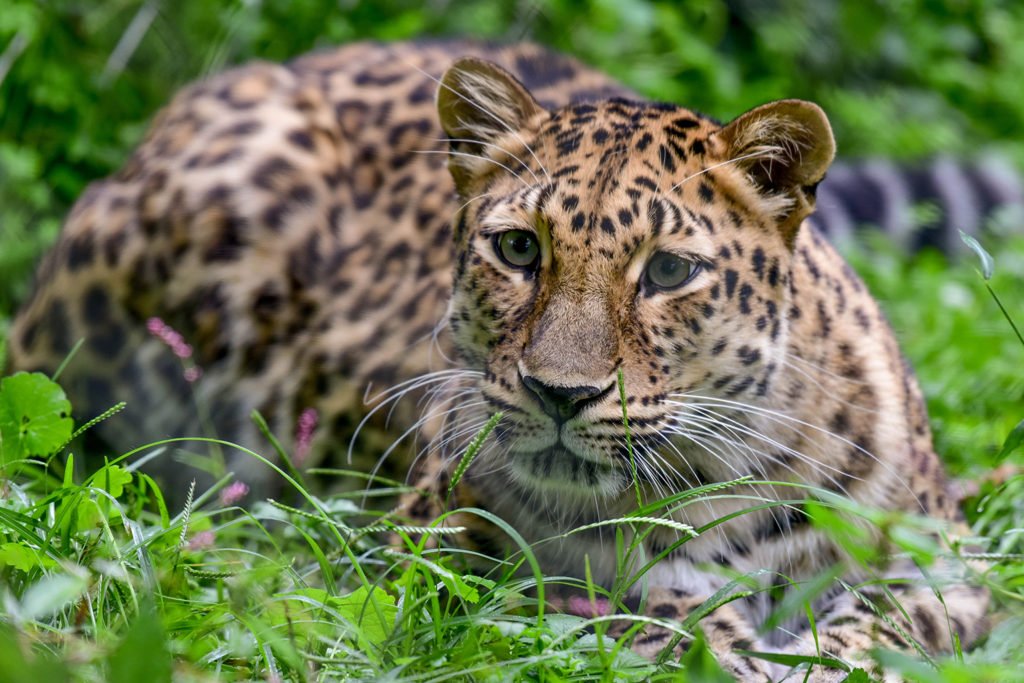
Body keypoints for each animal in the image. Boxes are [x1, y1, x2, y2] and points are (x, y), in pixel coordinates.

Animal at [7, 40, 990, 681]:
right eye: (519, 249)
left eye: (669, 271)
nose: (560, 393)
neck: (724, 481)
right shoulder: (445, 551)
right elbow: (639, 612)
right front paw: (726, 647)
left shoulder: (952, 561)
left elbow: (890, 616)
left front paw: (822, 656)